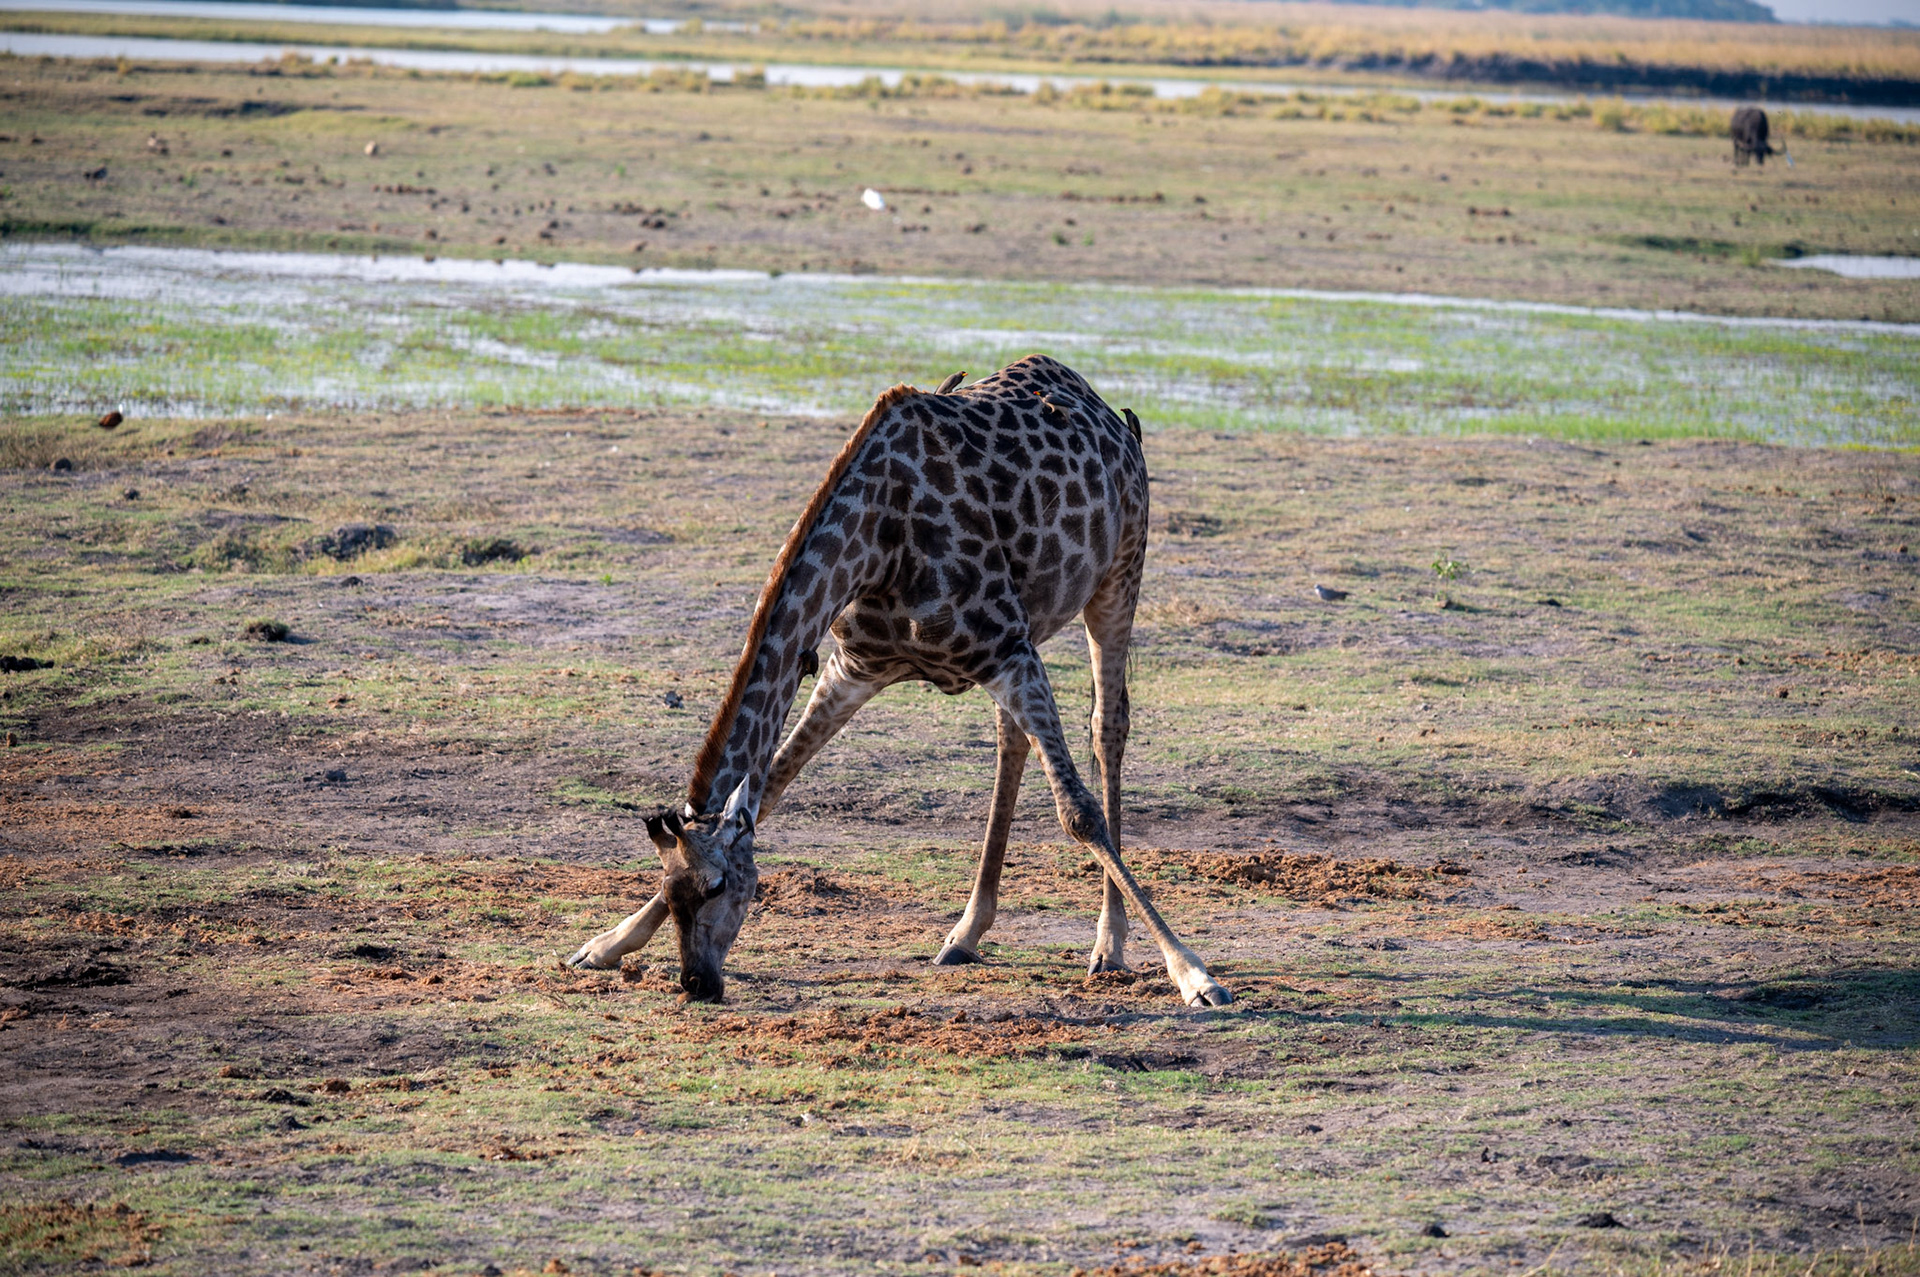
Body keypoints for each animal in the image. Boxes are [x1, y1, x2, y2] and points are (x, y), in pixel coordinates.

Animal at [566, 355, 1231, 1009]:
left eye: (719, 885)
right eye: (671, 888)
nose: (698, 983)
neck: (876, 544)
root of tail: (1112, 414)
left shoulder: (1007, 652)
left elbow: (1078, 814)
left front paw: (1193, 973)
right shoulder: (857, 667)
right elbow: (773, 783)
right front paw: (604, 945)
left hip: (1118, 574)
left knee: (1107, 726)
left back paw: (1108, 946)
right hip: (1035, 625)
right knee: (1012, 740)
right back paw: (966, 933)